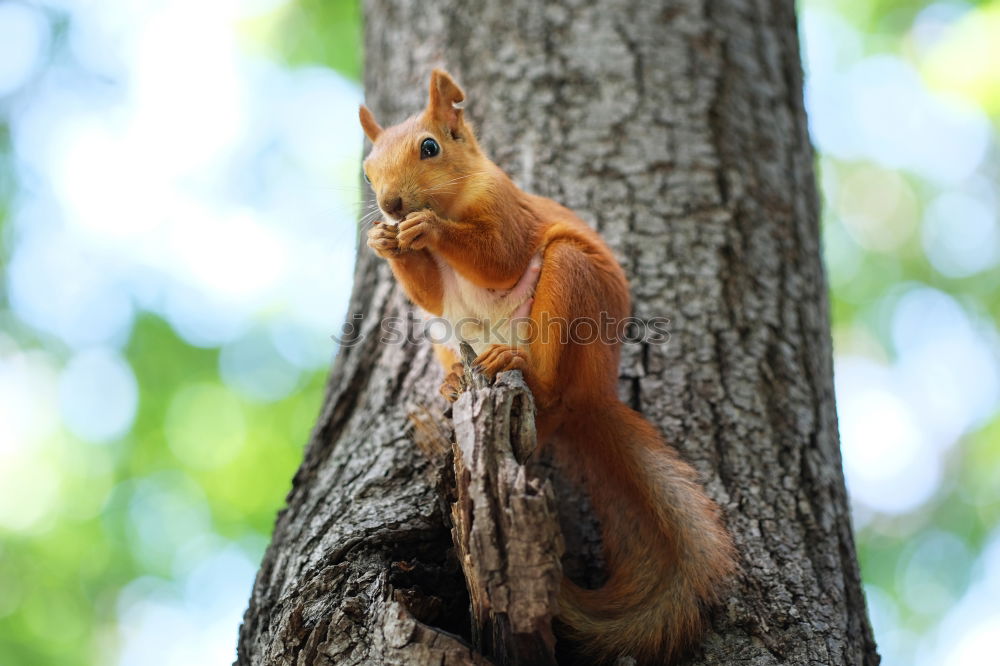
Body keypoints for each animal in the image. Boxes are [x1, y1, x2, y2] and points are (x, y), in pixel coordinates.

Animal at [360, 70, 736, 660]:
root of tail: (594, 398)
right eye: (367, 169)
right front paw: (385, 240)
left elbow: (500, 256)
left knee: (550, 382)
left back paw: (517, 362)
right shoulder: (431, 293)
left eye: (430, 147)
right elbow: (428, 292)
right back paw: (452, 380)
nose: (391, 205)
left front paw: (429, 229)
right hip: (445, 334)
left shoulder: (509, 211)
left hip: (570, 283)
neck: (456, 197)